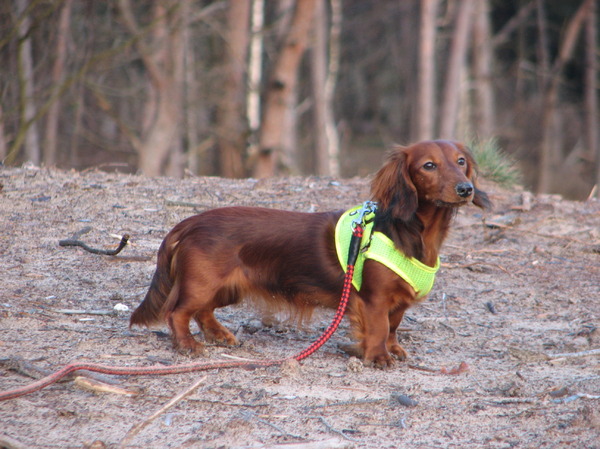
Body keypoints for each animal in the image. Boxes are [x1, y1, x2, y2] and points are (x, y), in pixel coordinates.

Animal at [130, 141, 488, 368]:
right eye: (428, 165)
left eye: (461, 162)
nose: (465, 189)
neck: (411, 232)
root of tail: (189, 222)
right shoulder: (374, 299)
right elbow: (379, 327)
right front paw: (378, 356)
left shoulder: (397, 301)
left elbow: (394, 326)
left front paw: (394, 349)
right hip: (202, 284)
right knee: (178, 312)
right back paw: (188, 345)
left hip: (227, 288)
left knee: (202, 312)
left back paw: (220, 335)